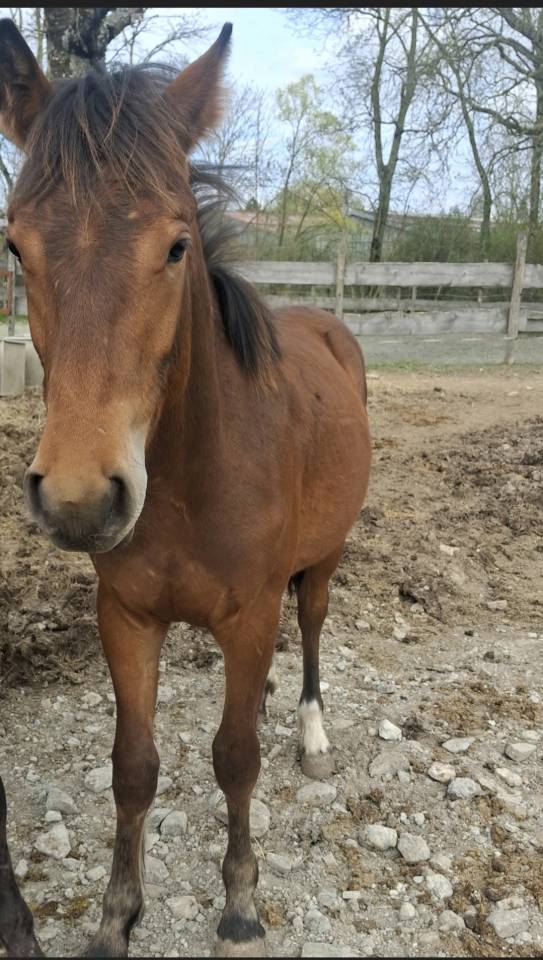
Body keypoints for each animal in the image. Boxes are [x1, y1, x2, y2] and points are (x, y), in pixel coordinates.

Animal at [0, 19, 371, 958]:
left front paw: (239, 905)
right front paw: (114, 914)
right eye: (15, 245)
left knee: (310, 628)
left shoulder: (248, 614)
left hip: (325, 560)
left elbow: (234, 757)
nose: (80, 498)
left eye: (175, 247)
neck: (189, 484)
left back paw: (311, 732)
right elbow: (134, 767)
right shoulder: (127, 618)